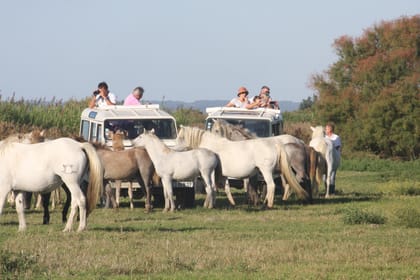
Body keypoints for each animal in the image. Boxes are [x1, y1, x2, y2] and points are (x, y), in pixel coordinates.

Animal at [175, 125, 308, 208]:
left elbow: (210, 188)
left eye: (181, 137)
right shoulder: (223, 176)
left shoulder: (210, 173)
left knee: (272, 186)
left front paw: (208, 205)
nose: (174, 148)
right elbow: (226, 189)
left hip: (267, 171)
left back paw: (268, 205)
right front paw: (231, 203)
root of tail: (275, 144)